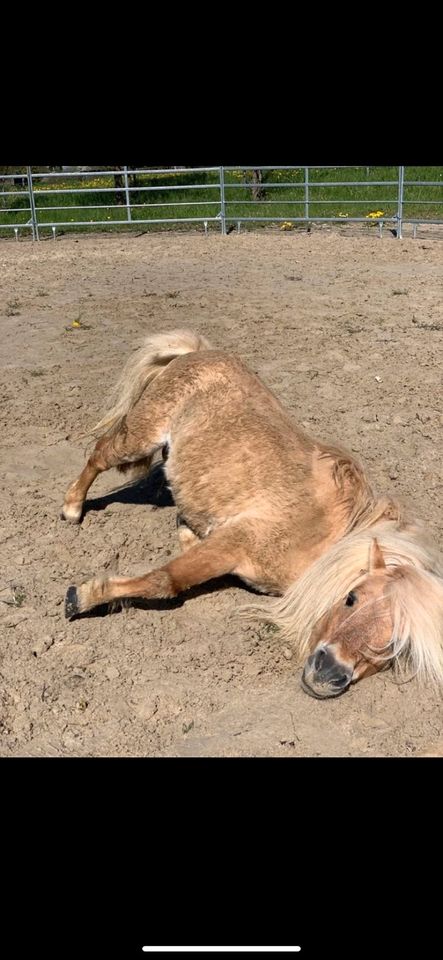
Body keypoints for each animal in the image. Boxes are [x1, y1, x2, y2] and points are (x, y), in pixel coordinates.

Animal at [61, 330, 443, 696]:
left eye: (396, 645)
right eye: (351, 598)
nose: (328, 673)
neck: (317, 536)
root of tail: (198, 351)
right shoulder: (232, 543)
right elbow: (166, 580)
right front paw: (83, 597)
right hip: (140, 437)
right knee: (99, 455)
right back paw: (72, 508)